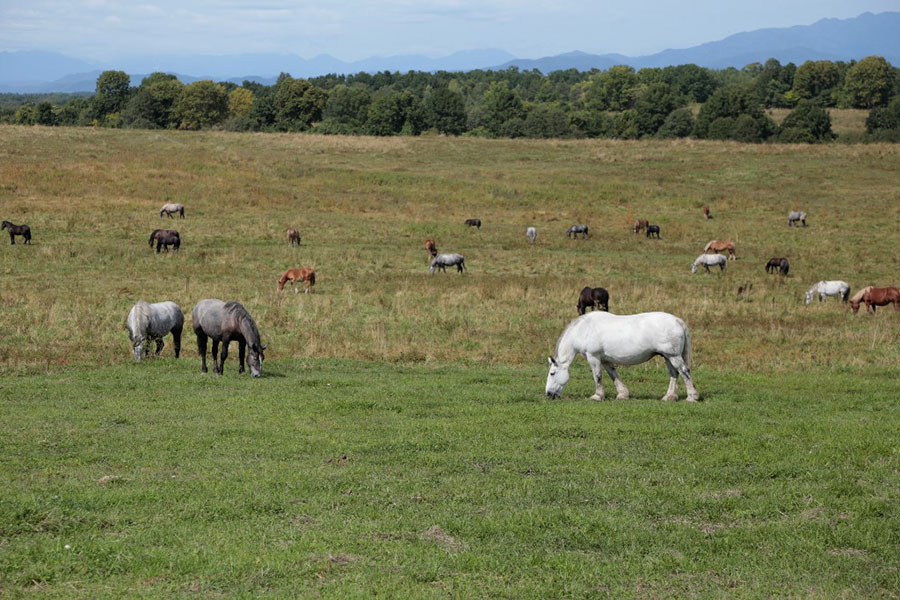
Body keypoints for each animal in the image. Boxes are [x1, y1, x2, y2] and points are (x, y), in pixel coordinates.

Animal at [544, 310, 700, 404]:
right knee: (674, 374)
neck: (584, 329)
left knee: (684, 372)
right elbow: (613, 375)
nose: (548, 394)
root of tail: (678, 321)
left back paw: (692, 397)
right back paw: (669, 396)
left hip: (673, 356)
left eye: (552, 373)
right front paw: (623, 394)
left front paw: (597, 396)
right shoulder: (605, 360)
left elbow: (597, 376)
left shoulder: (593, 357)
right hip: (667, 357)